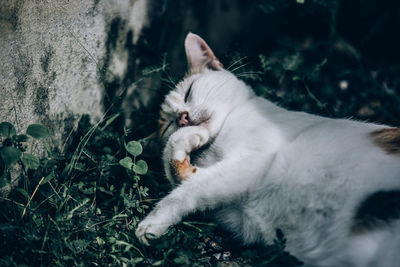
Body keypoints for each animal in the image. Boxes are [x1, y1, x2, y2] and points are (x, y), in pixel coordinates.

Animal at [136, 32, 400, 266]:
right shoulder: (234, 207)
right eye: (168, 123)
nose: (182, 118)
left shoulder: (254, 159)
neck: (216, 143)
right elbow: (181, 175)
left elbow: (185, 190)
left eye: (189, 91)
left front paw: (151, 224)